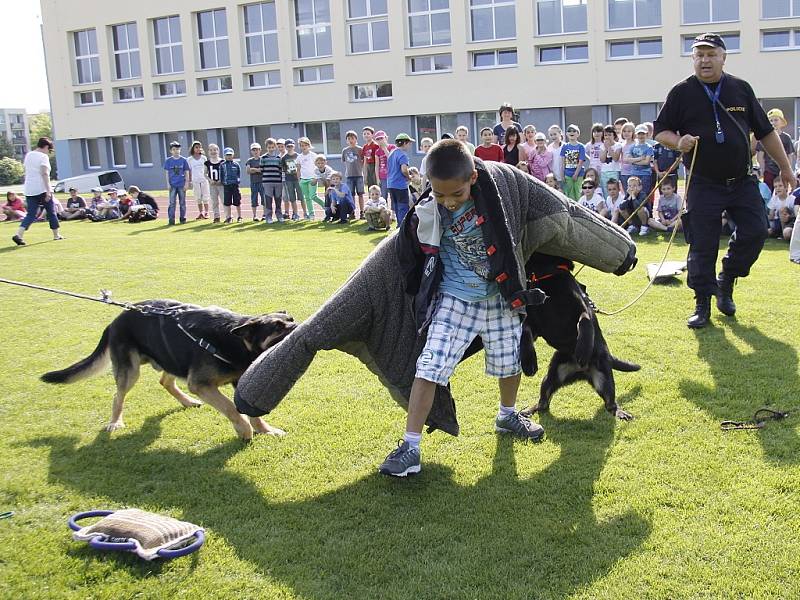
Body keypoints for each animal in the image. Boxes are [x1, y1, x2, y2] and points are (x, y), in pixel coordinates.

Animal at [42, 300, 296, 440]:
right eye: (277, 327)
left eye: (291, 319)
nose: (299, 325)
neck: (235, 340)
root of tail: (114, 321)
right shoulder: (201, 384)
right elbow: (231, 408)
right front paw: (244, 430)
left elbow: (251, 411)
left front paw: (265, 430)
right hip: (130, 370)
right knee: (118, 395)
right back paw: (115, 422)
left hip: (170, 357)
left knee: (165, 381)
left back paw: (187, 402)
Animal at [520, 254, 640, 422]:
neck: (547, 273)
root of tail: (580, 372)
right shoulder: (533, 324)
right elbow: (525, 332)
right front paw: (528, 362)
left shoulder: (583, 308)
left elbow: (585, 322)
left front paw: (583, 351)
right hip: (551, 376)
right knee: (543, 403)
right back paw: (529, 410)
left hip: (605, 380)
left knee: (611, 405)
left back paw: (620, 413)